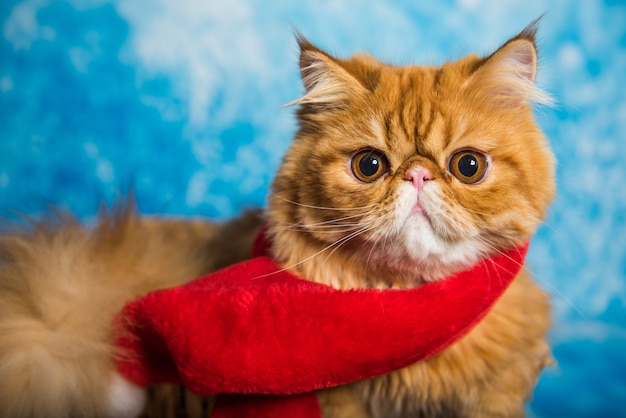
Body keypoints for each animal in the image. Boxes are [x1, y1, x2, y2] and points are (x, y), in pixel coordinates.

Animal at [0, 20, 552, 418]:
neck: (412, 310)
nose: (417, 175)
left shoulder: (501, 390)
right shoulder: (336, 401)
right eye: (369, 166)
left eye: (468, 166)